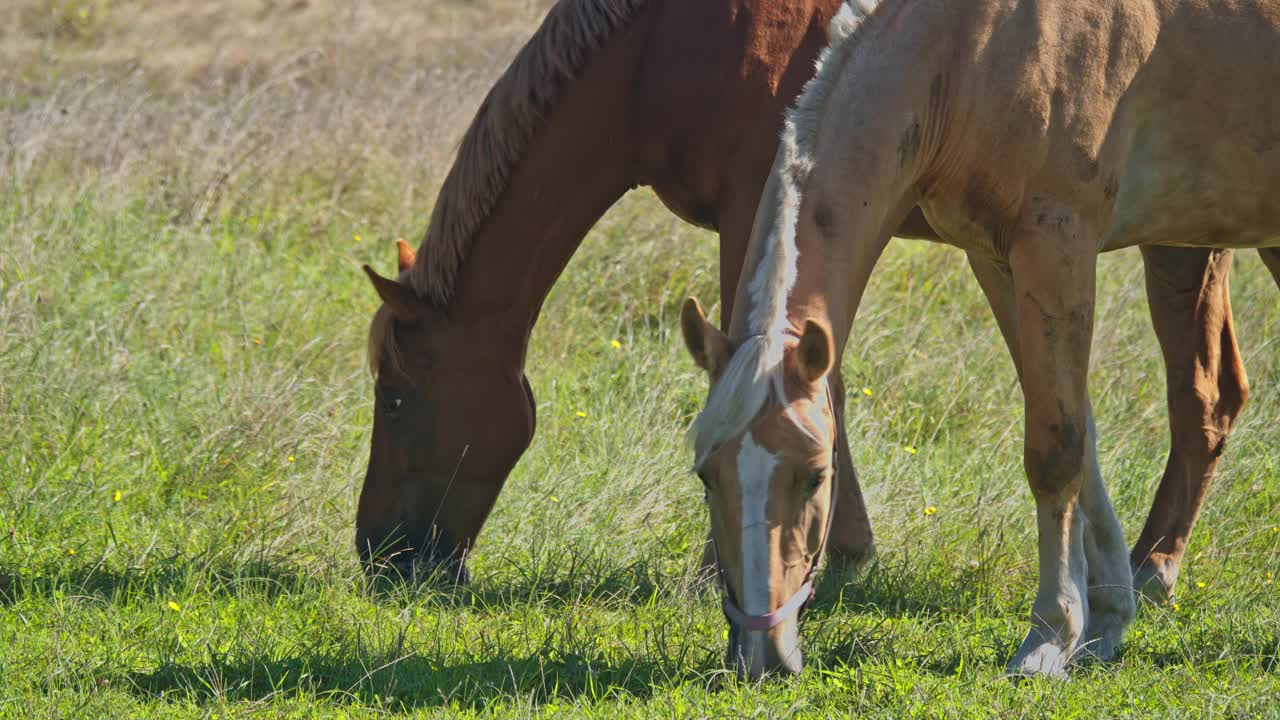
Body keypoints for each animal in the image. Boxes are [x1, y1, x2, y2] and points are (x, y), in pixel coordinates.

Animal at [363, 0, 1259, 604]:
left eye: (396, 398)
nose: (379, 559)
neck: (656, 49)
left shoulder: (756, 216)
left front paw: (736, 563)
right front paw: (844, 550)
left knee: (1204, 394)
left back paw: (1154, 566)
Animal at [686, 0, 1280, 676]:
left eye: (815, 474)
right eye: (707, 475)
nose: (758, 655)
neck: (973, 44)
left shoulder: (1058, 245)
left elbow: (1057, 451)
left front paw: (1049, 636)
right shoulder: (997, 261)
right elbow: (1081, 437)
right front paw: (1105, 618)